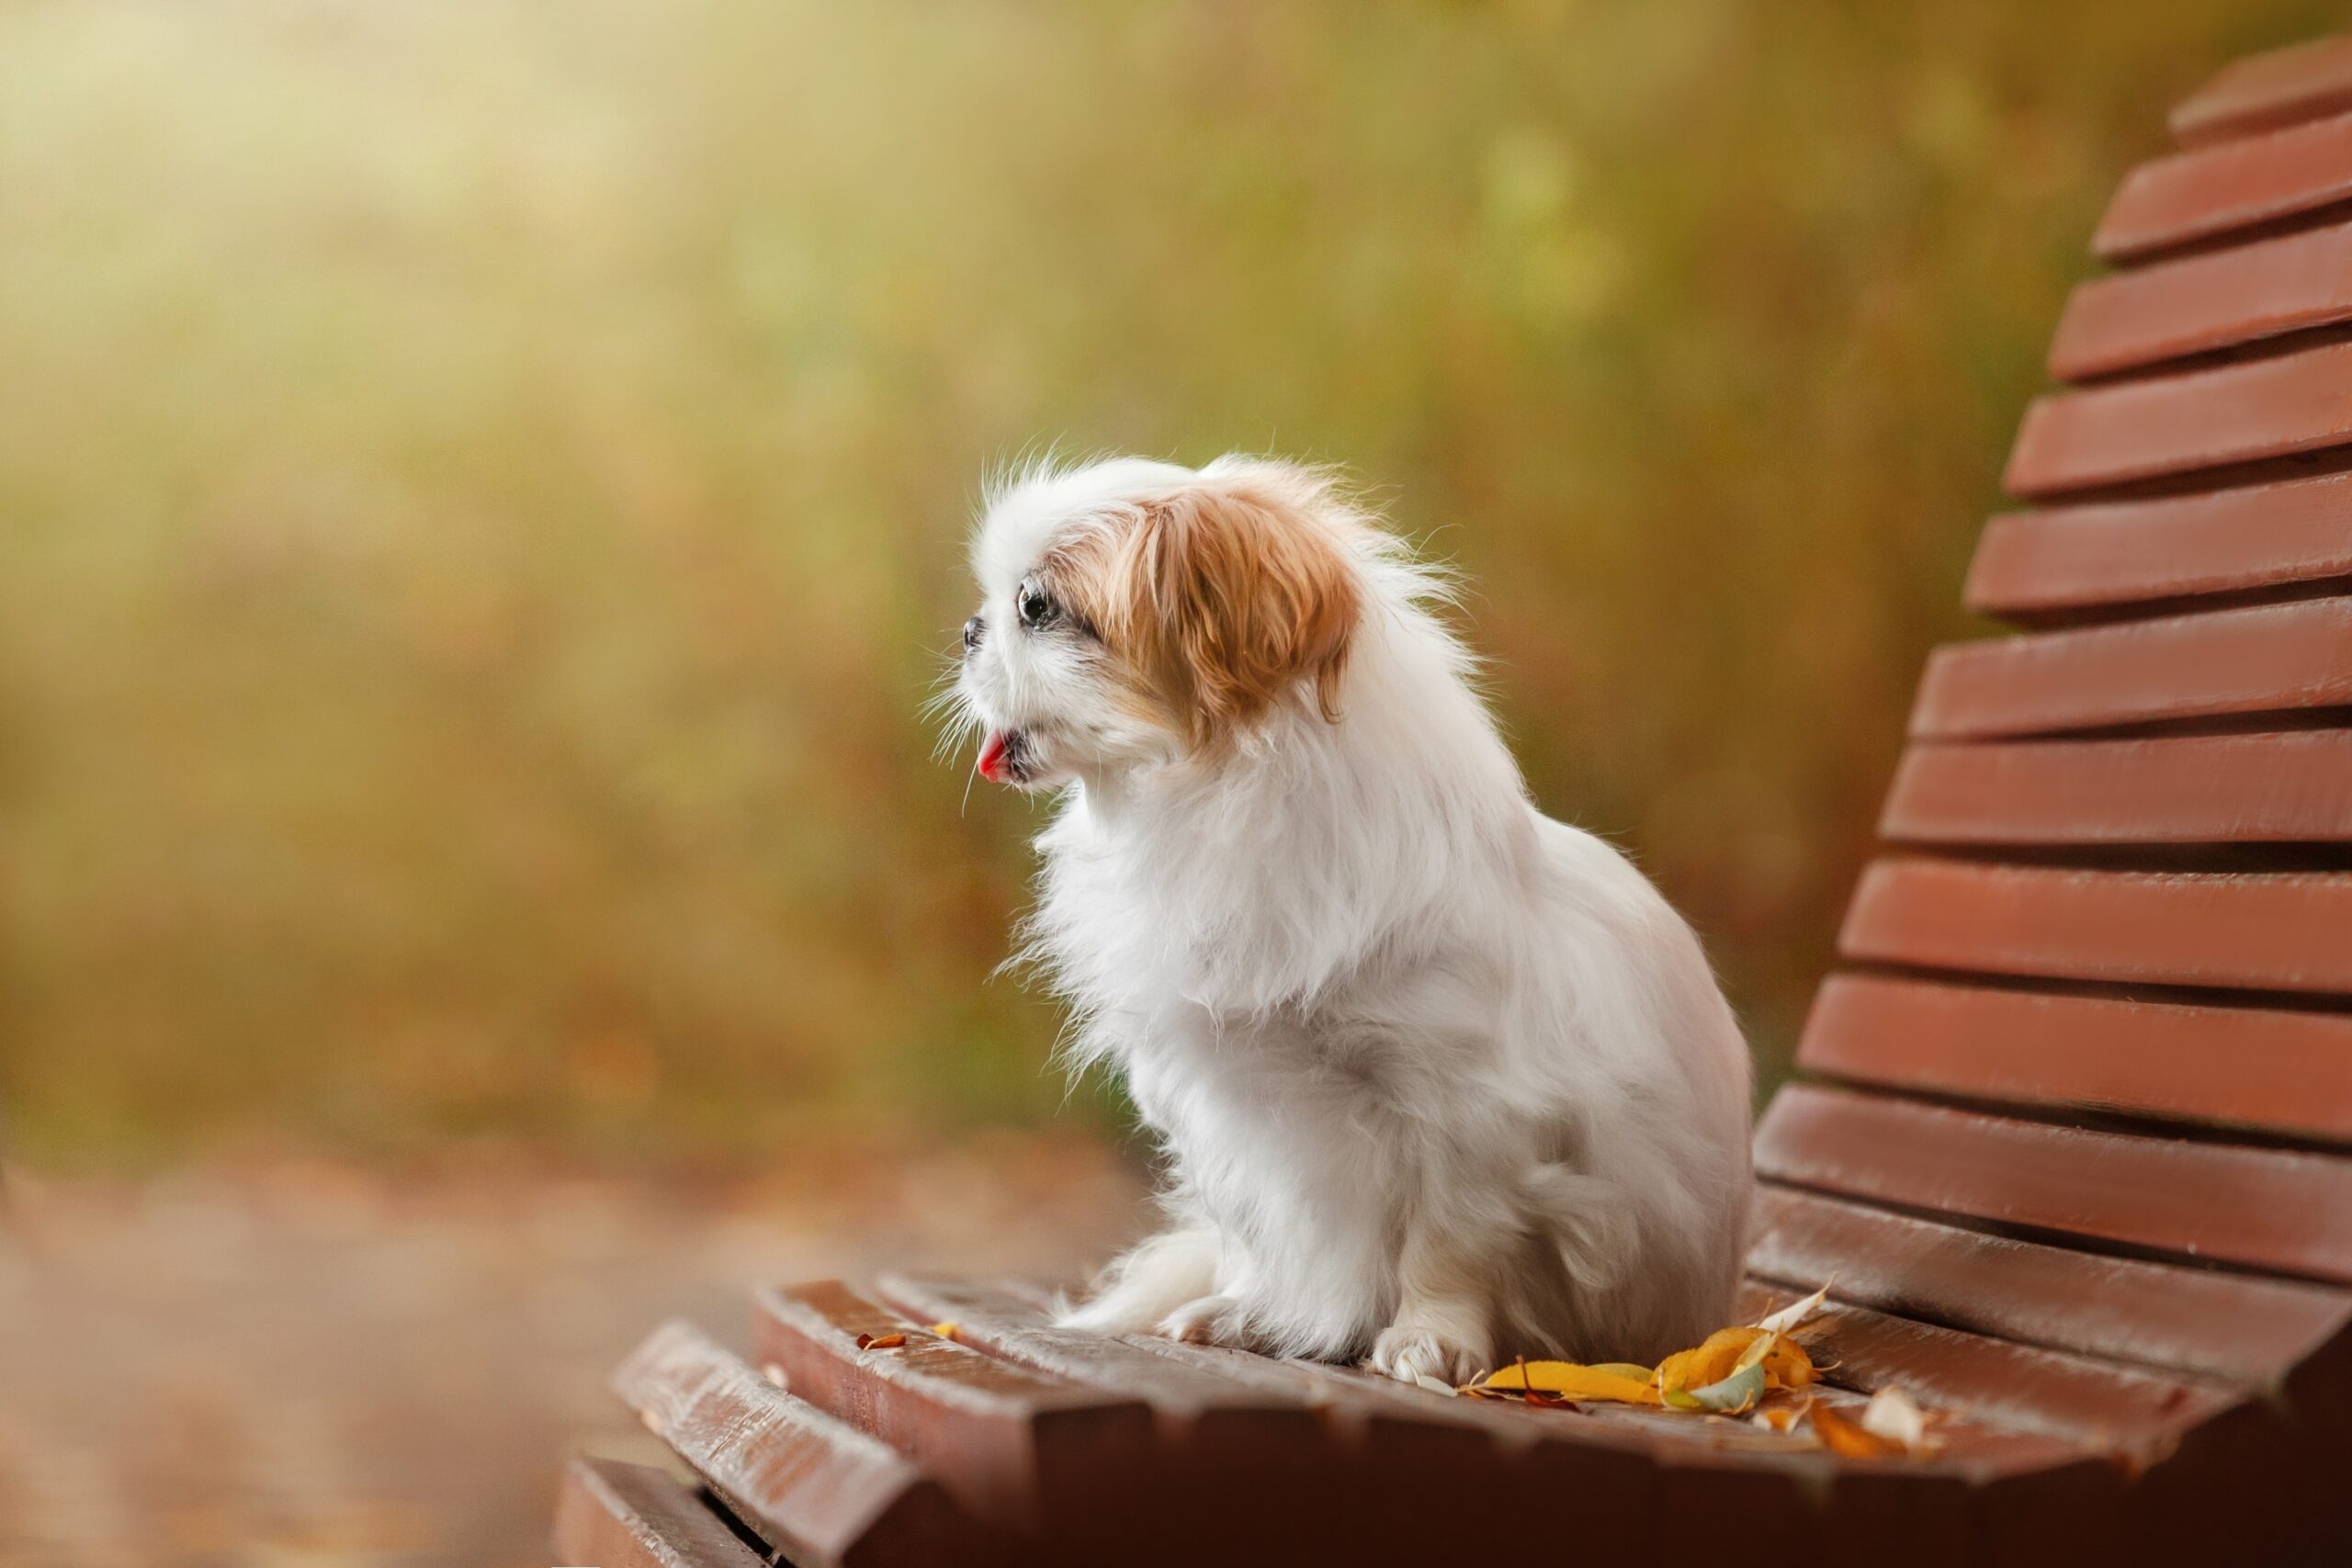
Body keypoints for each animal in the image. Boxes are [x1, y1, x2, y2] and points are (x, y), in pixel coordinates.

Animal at [941, 453, 1749, 1382]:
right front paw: (1256, 1313)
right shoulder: (1220, 1104)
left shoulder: (1466, 1107)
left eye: (1036, 607)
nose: (969, 630)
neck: (1204, 803)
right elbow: (1261, 1229)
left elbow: (1449, 1238)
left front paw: (1431, 1339)